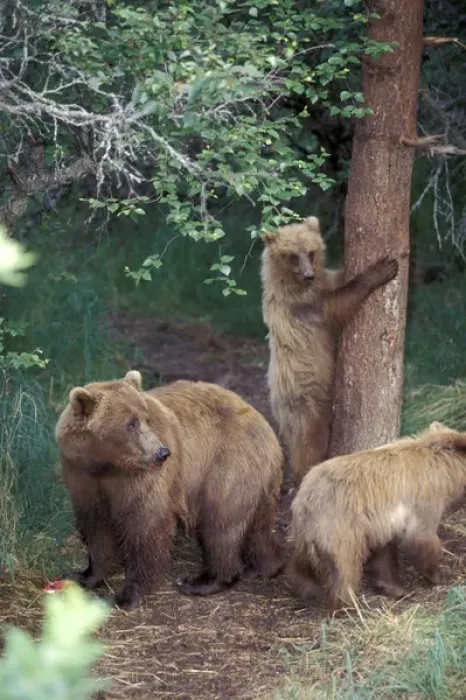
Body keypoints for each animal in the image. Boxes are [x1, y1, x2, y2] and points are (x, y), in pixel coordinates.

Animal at [56, 371, 284, 611]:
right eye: (130, 424)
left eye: (145, 419)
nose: (162, 453)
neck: (106, 466)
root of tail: (265, 425)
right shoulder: (81, 476)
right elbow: (95, 526)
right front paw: (84, 576)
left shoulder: (140, 481)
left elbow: (145, 526)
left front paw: (128, 596)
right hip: (257, 479)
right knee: (258, 526)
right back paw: (264, 566)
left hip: (226, 466)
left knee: (220, 524)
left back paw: (203, 581)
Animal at [261, 215, 399, 484]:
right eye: (292, 256)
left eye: (311, 252)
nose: (308, 275)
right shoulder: (305, 307)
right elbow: (339, 305)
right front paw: (382, 268)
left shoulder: (322, 283)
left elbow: (338, 280)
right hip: (304, 398)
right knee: (310, 439)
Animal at [288, 422, 466, 613]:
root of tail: (304, 498)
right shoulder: (424, 498)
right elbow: (422, 536)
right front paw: (435, 574)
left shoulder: (384, 522)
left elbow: (385, 552)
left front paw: (393, 587)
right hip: (339, 526)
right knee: (344, 567)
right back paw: (345, 605)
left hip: (306, 532)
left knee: (302, 562)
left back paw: (305, 588)